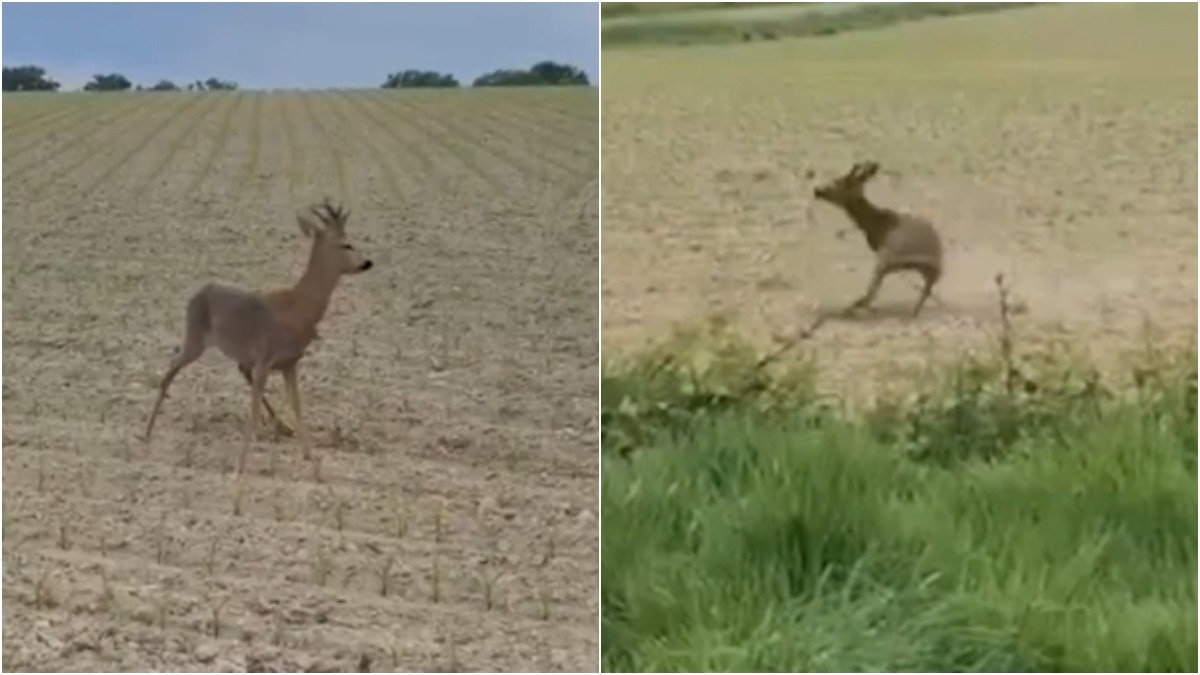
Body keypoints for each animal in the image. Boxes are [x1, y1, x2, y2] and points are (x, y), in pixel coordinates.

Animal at [141, 199, 373, 468]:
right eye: (345, 243)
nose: (367, 262)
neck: (298, 308)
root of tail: (198, 294)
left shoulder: (290, 362)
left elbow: (297, 405)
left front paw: (310, 457)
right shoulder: (265, 358)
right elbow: (252, 410)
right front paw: (241, 464)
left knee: (232, 370)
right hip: (195, 338)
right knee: (171, 369)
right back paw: (147, 431)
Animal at [812, 161, 943, 318]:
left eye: (839, 181)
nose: (817, 190)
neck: (875, 221)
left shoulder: (883, 258)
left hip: (886, 261)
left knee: (872, 292)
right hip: (917, 271)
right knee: (924, 291)